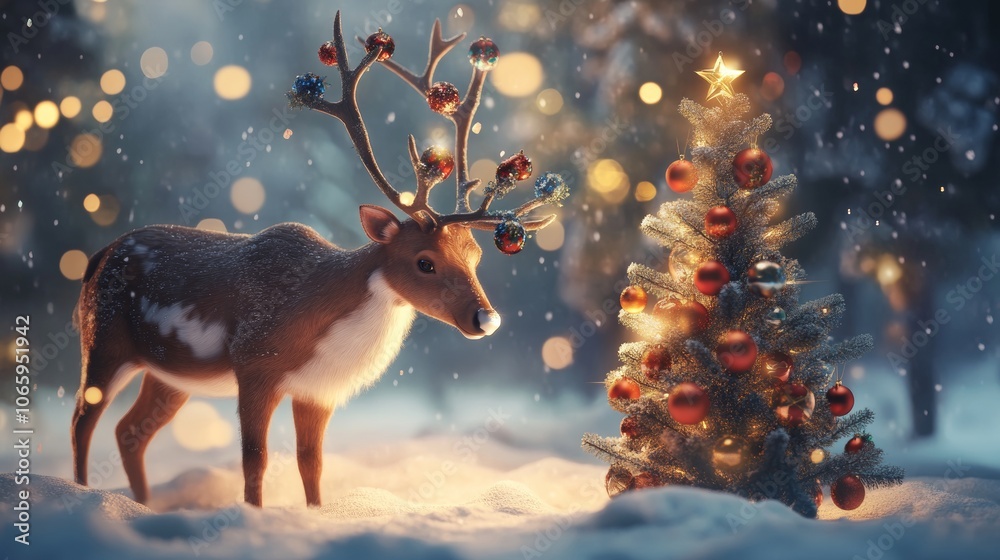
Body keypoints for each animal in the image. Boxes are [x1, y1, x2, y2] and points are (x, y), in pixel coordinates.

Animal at [71, 12, 566, 508]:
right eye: (424, 261)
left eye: (477, 255)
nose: (487, 319)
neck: (317, 319)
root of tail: (97, 257)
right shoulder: (254, 364)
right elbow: (255, 461)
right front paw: (254, 515)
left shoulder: (318, 390)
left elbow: (312, 463)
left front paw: (316, 513)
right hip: (104, 339)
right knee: (83, 420)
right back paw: (80, 494)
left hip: (169, 376)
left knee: (130, 431)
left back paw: (142, 505)